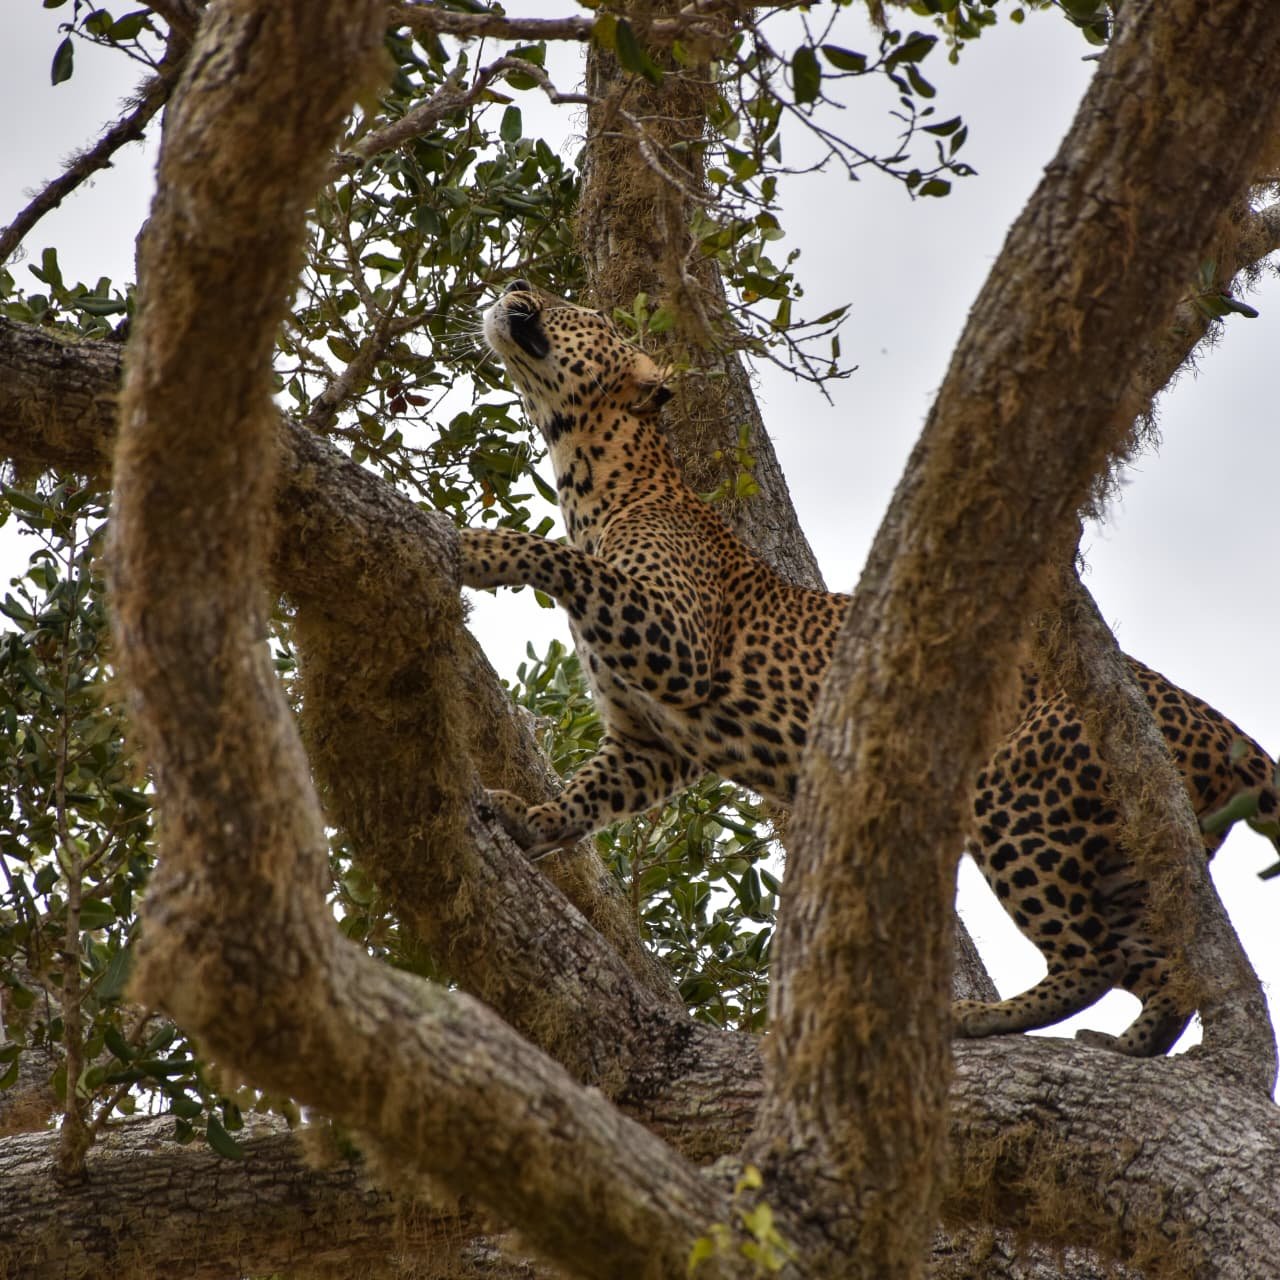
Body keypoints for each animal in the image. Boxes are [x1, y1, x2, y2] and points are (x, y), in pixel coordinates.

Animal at [461, 279, 1280, 1057]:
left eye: (587, 312)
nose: (518, 283)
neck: (594, 483)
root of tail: (1213, 721)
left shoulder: (675, 642)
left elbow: (558, 557)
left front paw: (477, 549)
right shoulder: (650, 741)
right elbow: (588, 797)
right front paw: (531, 820)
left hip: (1019, 800)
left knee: (1096, 957)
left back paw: (979, 1020)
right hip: (1130, 848)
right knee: (1166, 969)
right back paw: (1126, 1045)